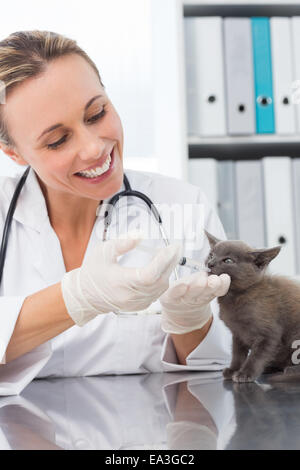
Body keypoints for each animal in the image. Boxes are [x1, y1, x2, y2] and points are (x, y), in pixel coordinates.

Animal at [204, 230, 300, 382]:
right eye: (211, 255)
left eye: (228, 261)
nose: (210, 263)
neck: (234, 297)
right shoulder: (237, 334)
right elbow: (237, 353)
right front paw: (233, 369)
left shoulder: (269, 334)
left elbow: (256, 355)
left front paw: (245, 373)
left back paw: (290, 370)